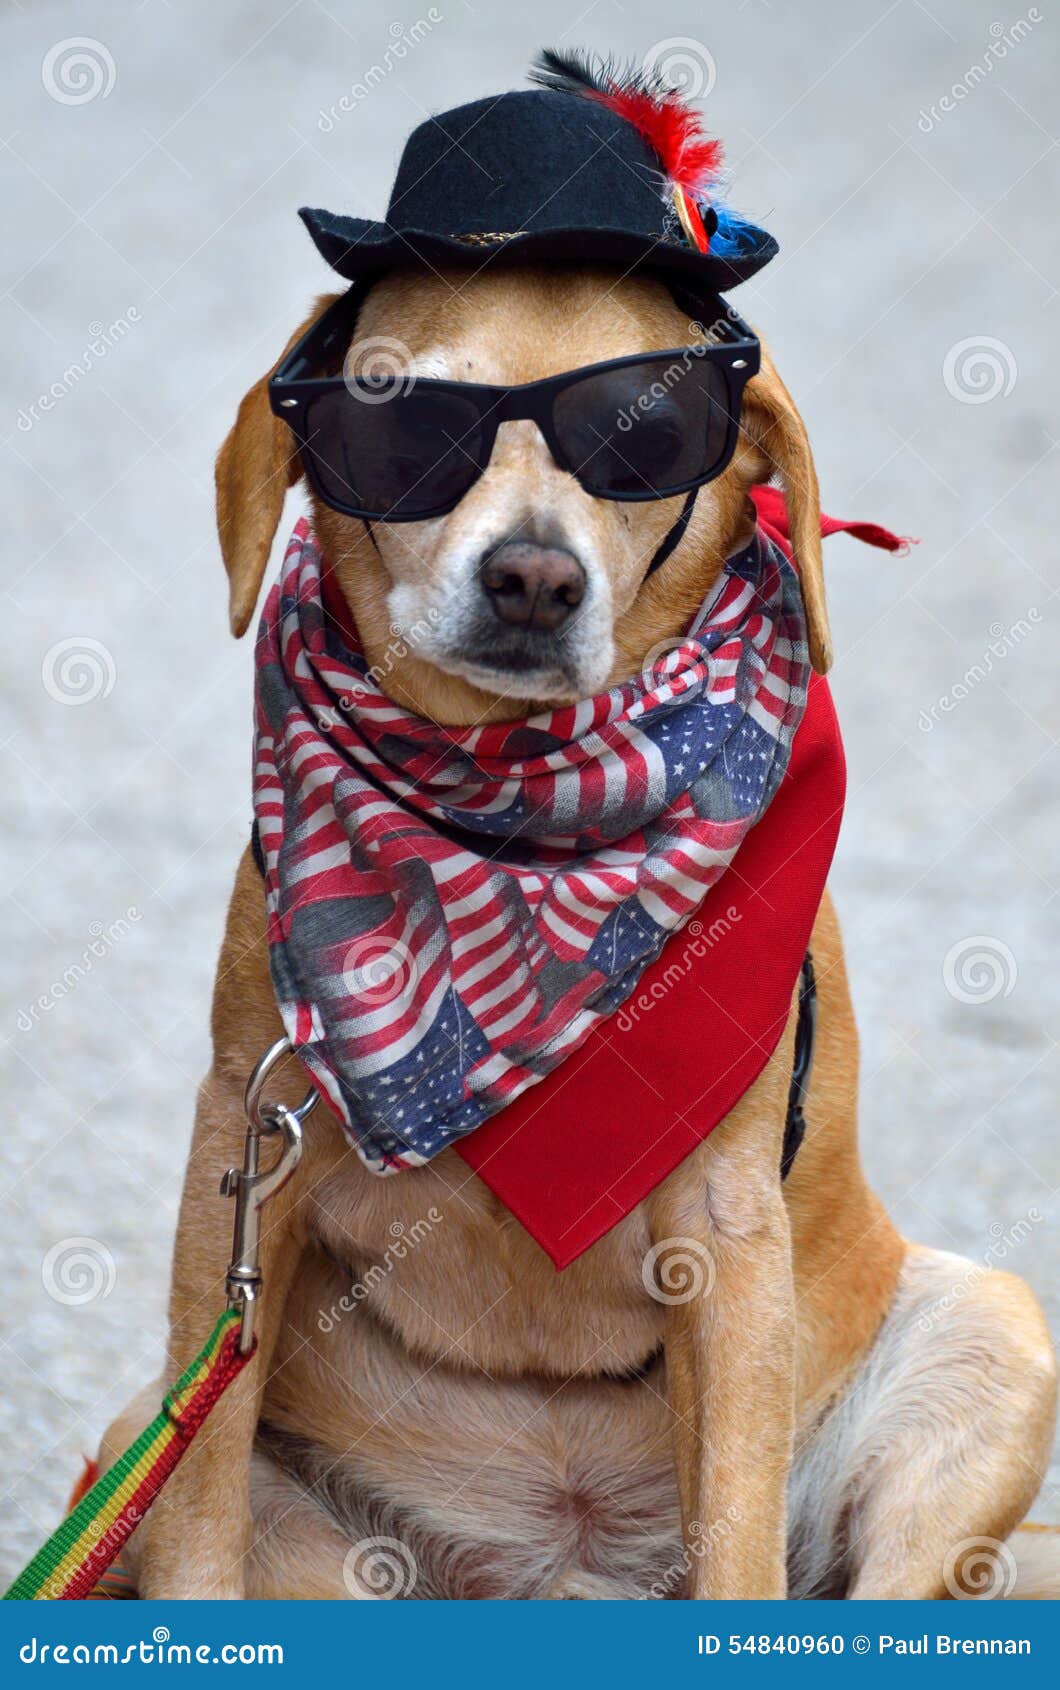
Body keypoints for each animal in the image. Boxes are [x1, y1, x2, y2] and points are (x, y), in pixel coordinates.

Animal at [97, 250, 1054, 1595]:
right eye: (400, 419)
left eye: (644, 432)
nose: (534, 578)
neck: (519, 818)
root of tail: (564, 1562)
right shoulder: (239, 1162)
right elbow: (197, 1517)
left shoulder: (725, 1234)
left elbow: (736, 1538)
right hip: (178, 1449)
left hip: (992, 1335)